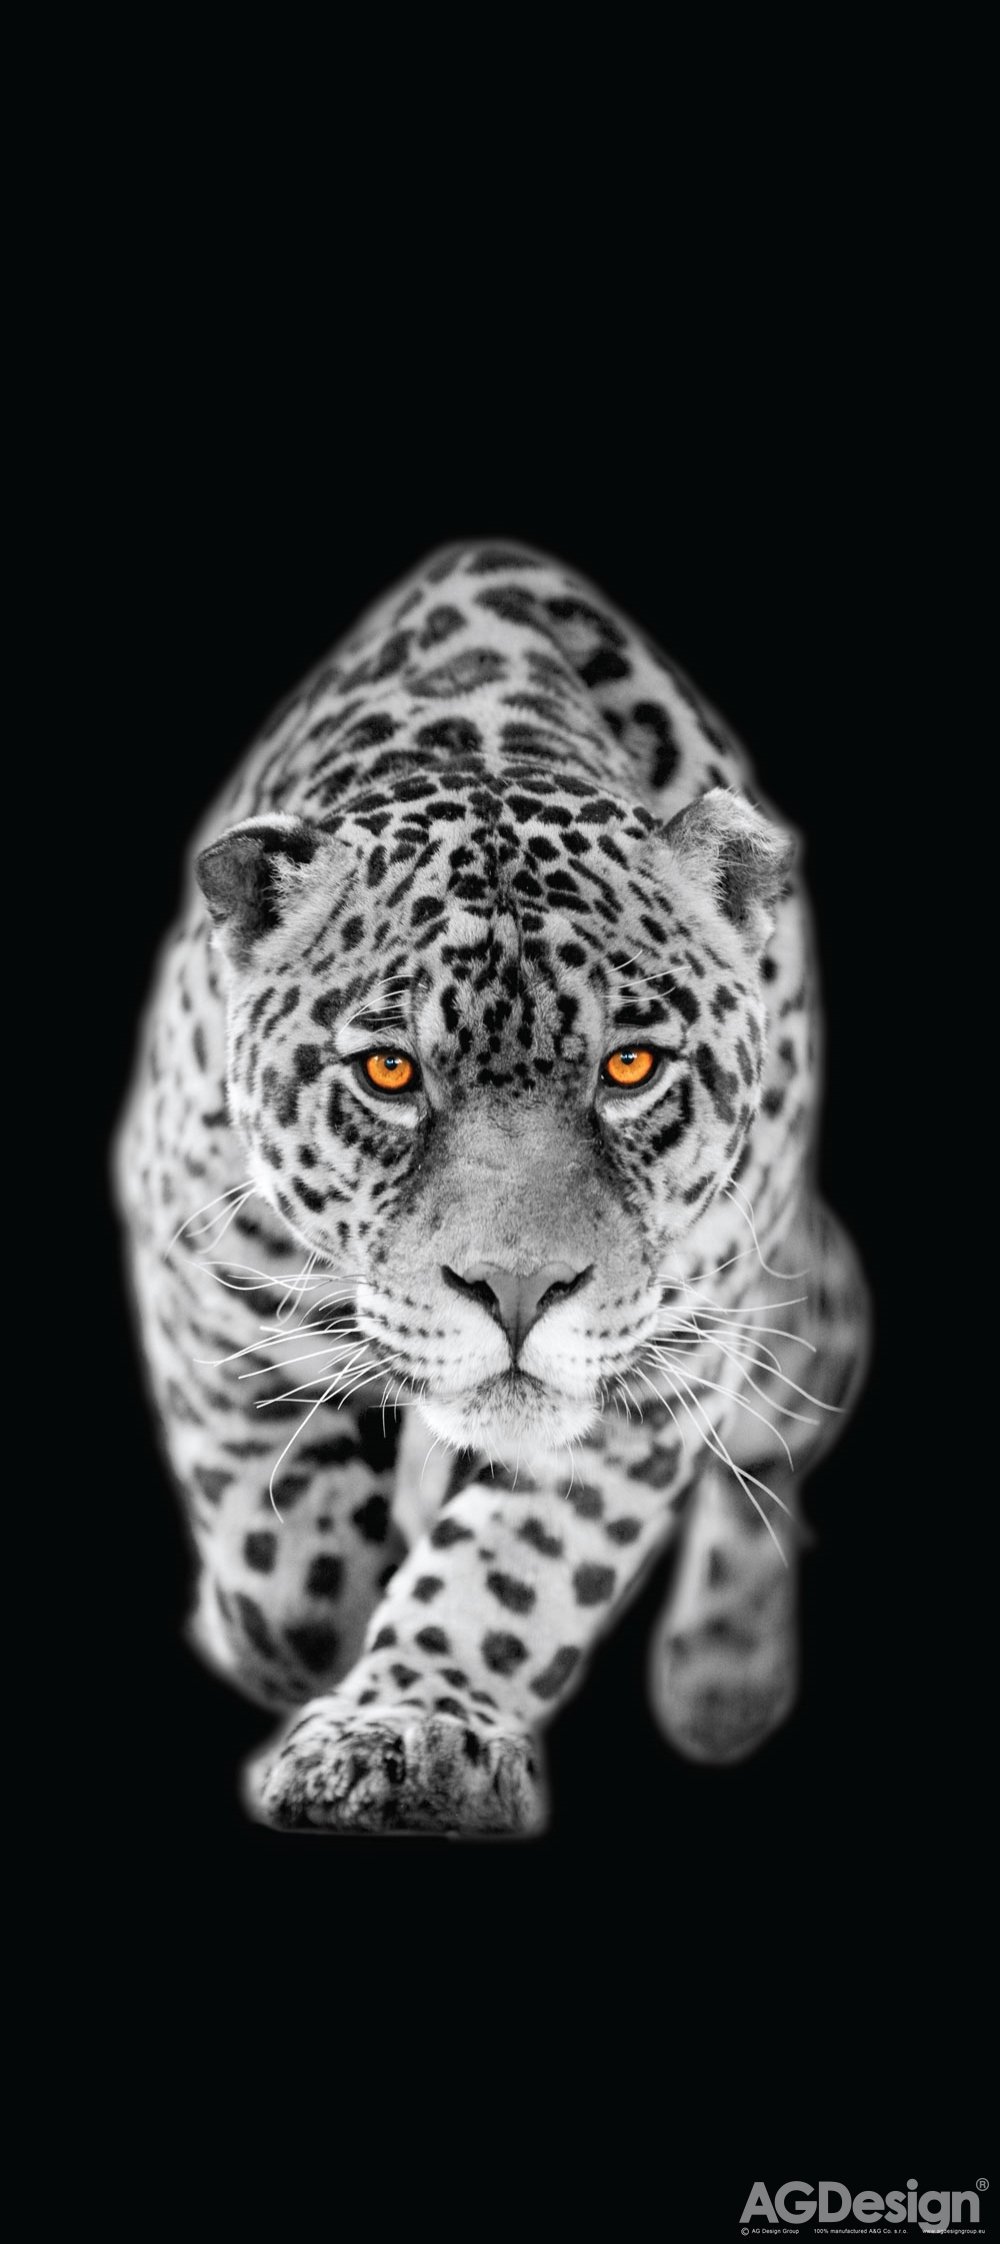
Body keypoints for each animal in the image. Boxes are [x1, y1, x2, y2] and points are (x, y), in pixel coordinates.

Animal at [113, 539, 869, 1838]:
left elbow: (520, 1565)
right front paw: (280, 1626)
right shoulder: (193, 1253)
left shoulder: (667, 1354)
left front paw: (411, 1731)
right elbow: (287, 1564)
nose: (517, 1294)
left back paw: (723, 1681)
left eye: (630, 1068)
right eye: (389, 1072)